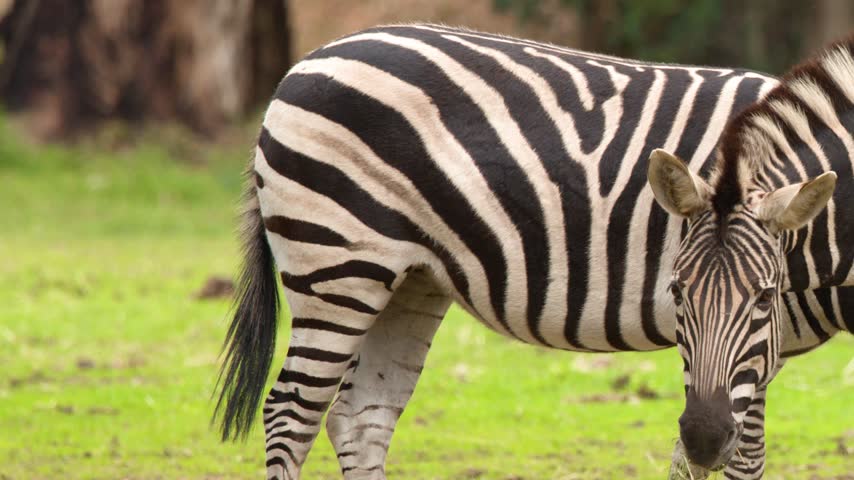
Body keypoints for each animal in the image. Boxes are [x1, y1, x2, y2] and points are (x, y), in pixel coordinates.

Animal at [213, 24, 853, 479]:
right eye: (675, 289)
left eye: (766, 295)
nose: (704, 434)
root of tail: (304, 63)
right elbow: (739, 459)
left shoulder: (746, 356)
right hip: (337, 266)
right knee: (292, 412)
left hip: (410, 278)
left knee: (362, 417)